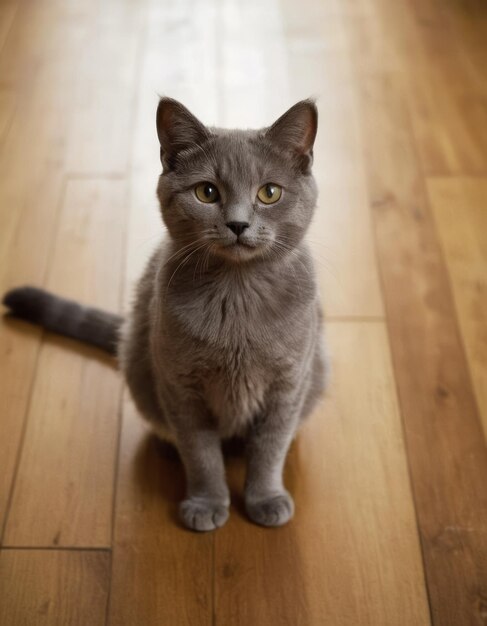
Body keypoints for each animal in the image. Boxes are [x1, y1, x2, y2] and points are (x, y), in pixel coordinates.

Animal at [2, 97, 328, 532]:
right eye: (207, 192)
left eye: (270, 193)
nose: (238, 224)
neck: (237, 294)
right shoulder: (180, 385)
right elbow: (201, 453)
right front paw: (206, 504)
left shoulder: (288, 384)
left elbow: (270, 448)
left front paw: (266, 499)